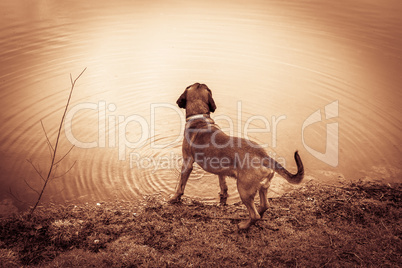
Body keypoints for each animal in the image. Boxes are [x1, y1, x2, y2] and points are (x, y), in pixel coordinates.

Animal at [170, 82, 304, 228]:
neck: (199, 118)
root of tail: (264, 157)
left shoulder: (187, 163)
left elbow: (180, 186)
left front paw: (174, 198)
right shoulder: (220, 170)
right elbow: (223, 185)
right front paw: (222, 194)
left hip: (243, 190)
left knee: (254, 215)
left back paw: (243, 226)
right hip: (262, 187)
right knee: (265, 205)